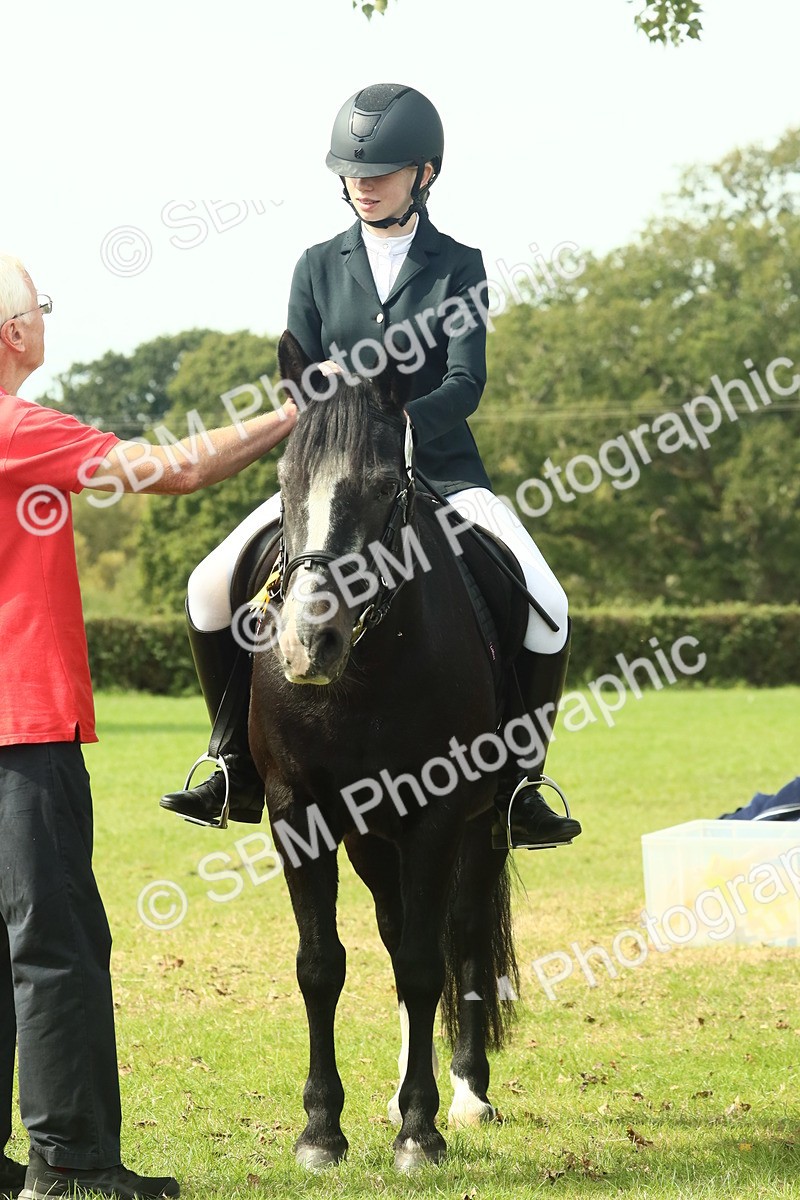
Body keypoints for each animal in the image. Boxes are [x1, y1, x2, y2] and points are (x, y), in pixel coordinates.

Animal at [247, 330, 520, 1172]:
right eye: (284, 482)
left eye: (379, 487)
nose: (308, 644)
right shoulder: (298, 811)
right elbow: (321, 964)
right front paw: (319, 1129)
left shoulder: (438, 811)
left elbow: (429, 962)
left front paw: (422, 1132)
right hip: (372, 837)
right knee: (399, 932)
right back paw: (402, 1088)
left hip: (484, 824)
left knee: (457, 937)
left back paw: (463, 1095)